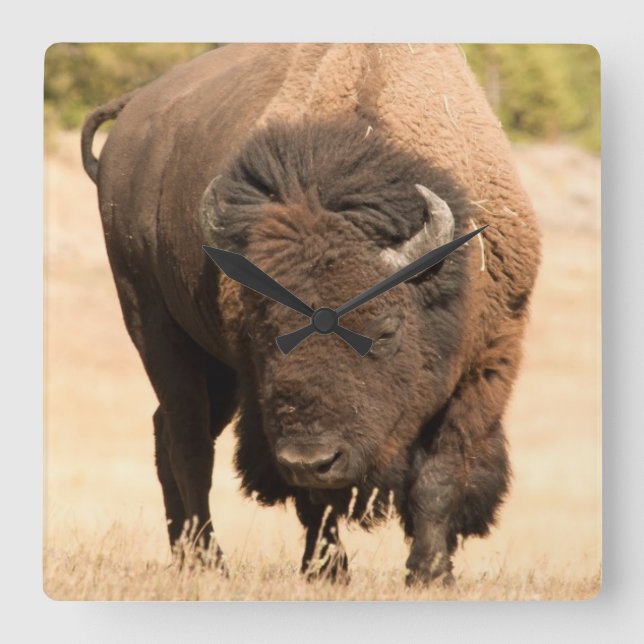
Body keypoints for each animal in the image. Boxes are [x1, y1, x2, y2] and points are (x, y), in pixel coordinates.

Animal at [82, 44, 540, 585]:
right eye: (265, 332)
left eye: (385, 330)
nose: (311, 458)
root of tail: (133, 111)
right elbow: (315, 500)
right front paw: (328, 571)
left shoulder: (485, 365)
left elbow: (439, 476)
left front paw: (430, 574)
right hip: (154, 326)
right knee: (188, 443)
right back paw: (209, 561)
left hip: (214, 370)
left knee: (168, 433)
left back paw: (187, 556)